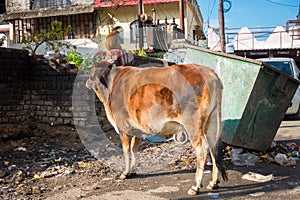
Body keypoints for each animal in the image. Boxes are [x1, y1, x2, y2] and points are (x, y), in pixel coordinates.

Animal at [86, 61, 227, 195]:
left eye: (92, 72)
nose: (87, 81)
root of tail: (209, 73)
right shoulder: (136, 129)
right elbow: (134, 149)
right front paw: (133, 171)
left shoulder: (123, 127)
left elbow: (126, 150)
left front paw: (125, 173)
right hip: (212, 121)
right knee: (214, 147)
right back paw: (213, 183)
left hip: (193, 124)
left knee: (202, 149)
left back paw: (195, 187)